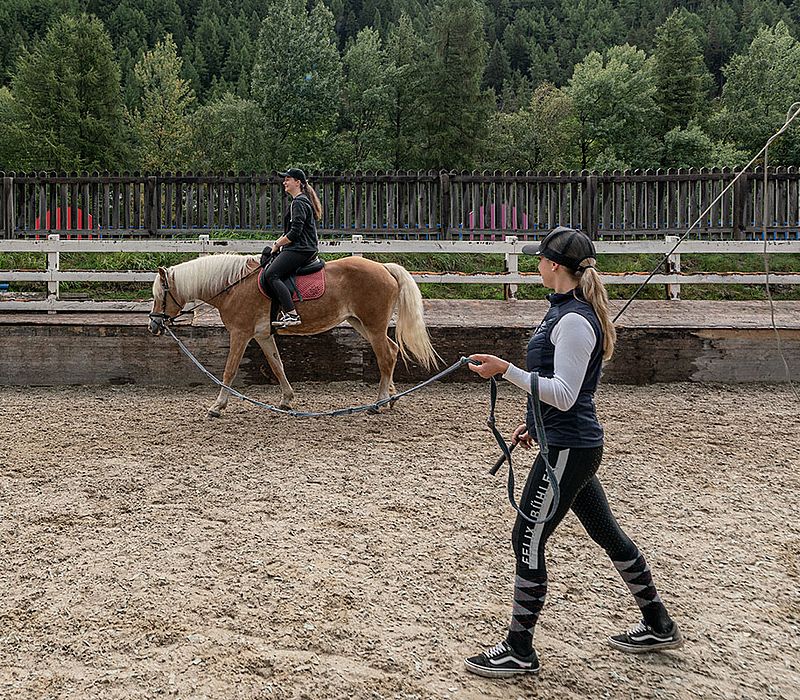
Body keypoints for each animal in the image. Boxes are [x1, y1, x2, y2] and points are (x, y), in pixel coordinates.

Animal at [147, 254, 440, 416]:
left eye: (161, 295)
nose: (153, 326)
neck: (233, 285)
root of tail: (384, 267)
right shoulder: (263, 335)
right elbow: (277, 366)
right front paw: (287, 401)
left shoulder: (241, 334)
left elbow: (229, 371)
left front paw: (217, 407)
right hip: (362, 324)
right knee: (391, 351)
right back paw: (390, 397)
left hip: (373, 325)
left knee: (386, 357)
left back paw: (378, 403)